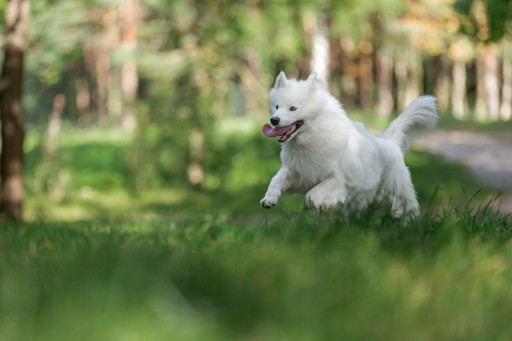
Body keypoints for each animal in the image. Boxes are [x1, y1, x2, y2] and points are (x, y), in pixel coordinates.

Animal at [262, 71, 438, 218]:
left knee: (407, 206)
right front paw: (269, 199)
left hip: (397, 191)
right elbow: (275, 180)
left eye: (293, 108)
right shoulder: (296, 171)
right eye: (276, 106)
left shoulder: (337, 179)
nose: (274, 120)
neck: (313, 136)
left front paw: (316, 208)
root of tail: (391, 143)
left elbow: (311, 195)